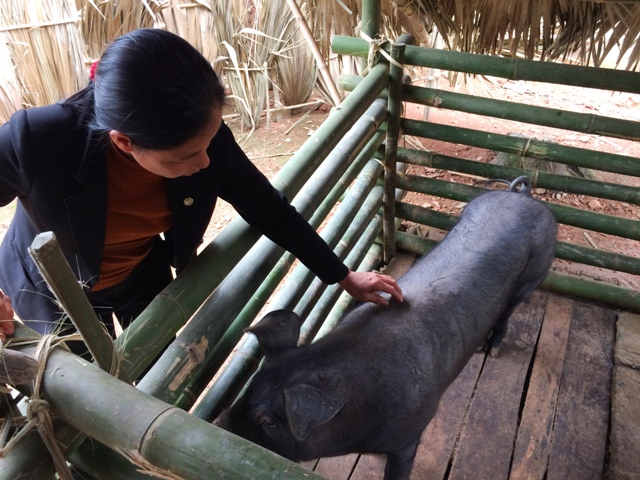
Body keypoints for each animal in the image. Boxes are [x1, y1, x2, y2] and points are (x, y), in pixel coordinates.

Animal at [215, 177, 556, 480]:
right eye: (248, 390)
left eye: (268, 422)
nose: (218, 428)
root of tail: (522, 196)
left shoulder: (412, 430)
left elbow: (399, 468)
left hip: (535, 272)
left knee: (508, 312)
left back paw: (492, 350)